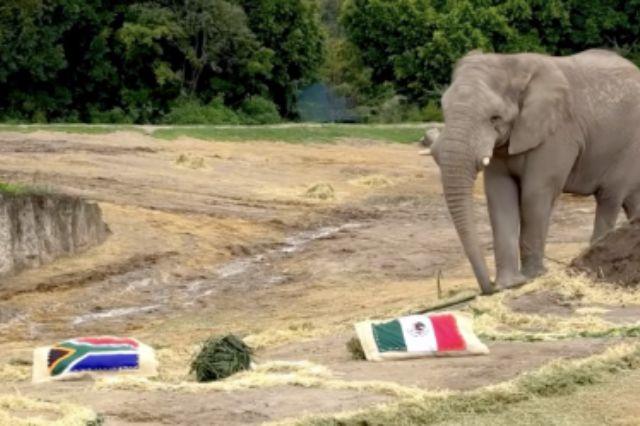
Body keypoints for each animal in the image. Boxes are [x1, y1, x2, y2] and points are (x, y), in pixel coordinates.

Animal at [427, 49, 640, 295]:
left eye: (495, 118)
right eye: (444, 111)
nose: (489, 287)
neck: (511, 63)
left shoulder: (556, 133)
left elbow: (534, 195)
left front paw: (531, 278)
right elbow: (499, 196)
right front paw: (510, 284)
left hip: (628, 148)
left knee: (609, 198)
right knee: (630, 201)